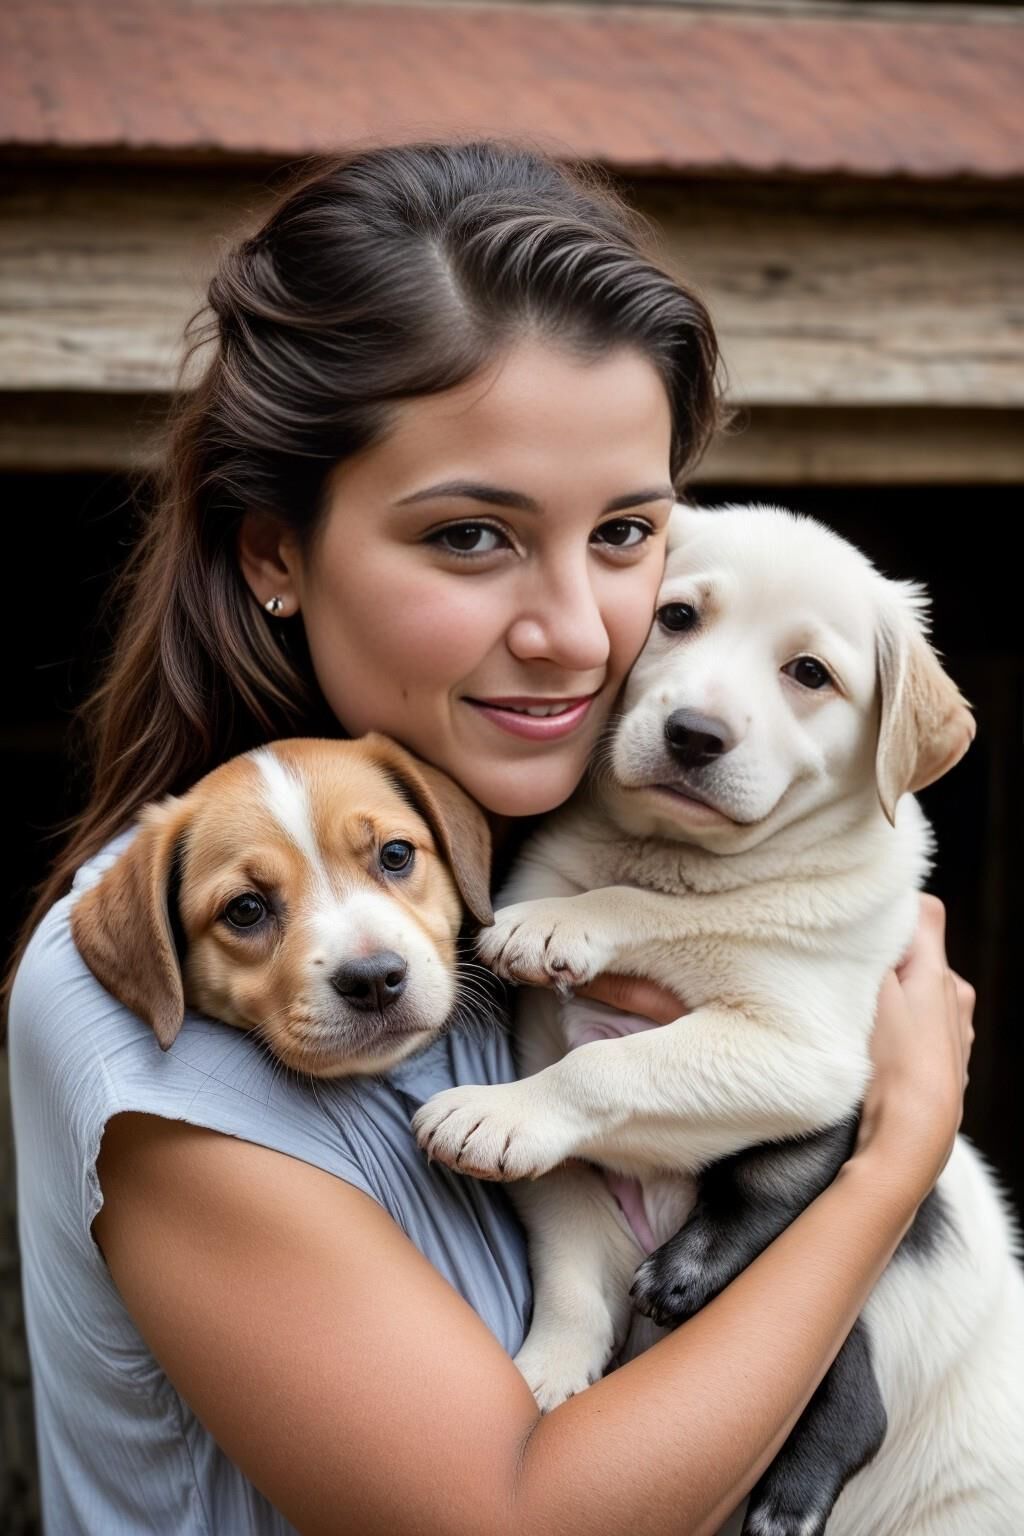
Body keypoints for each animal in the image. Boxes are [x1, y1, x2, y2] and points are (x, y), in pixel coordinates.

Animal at [414, 506, 1024, 1536]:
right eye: (676, 617)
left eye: (809, 673)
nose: (694, 734)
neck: (677, 858)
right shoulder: (559, 1123)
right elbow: (571, 1276)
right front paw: (548, 1372)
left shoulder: (804, 1048)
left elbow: (617, 1031)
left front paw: (557, 947)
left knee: (815, 1290)